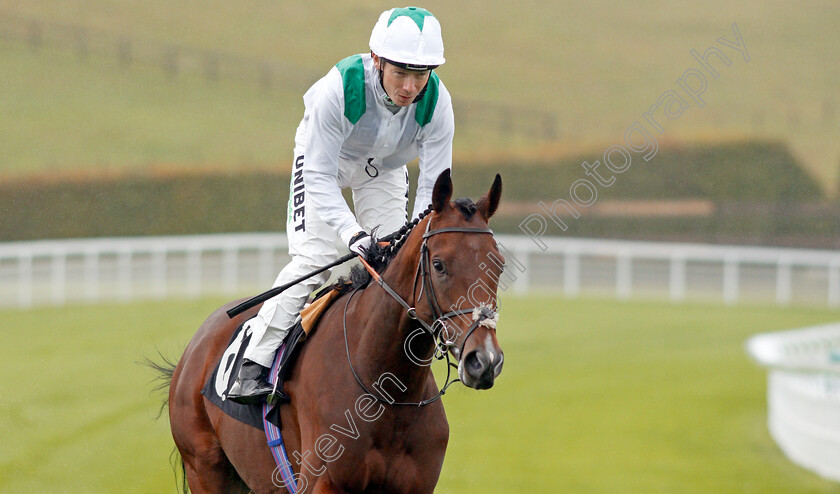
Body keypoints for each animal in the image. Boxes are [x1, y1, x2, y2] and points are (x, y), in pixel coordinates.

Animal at [164, 169, 506, 490]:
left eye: (499, 265)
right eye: (438, 264)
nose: (484, 360)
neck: (387, 393)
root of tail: (196, 346)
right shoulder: (324, 481)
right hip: (205, 468)